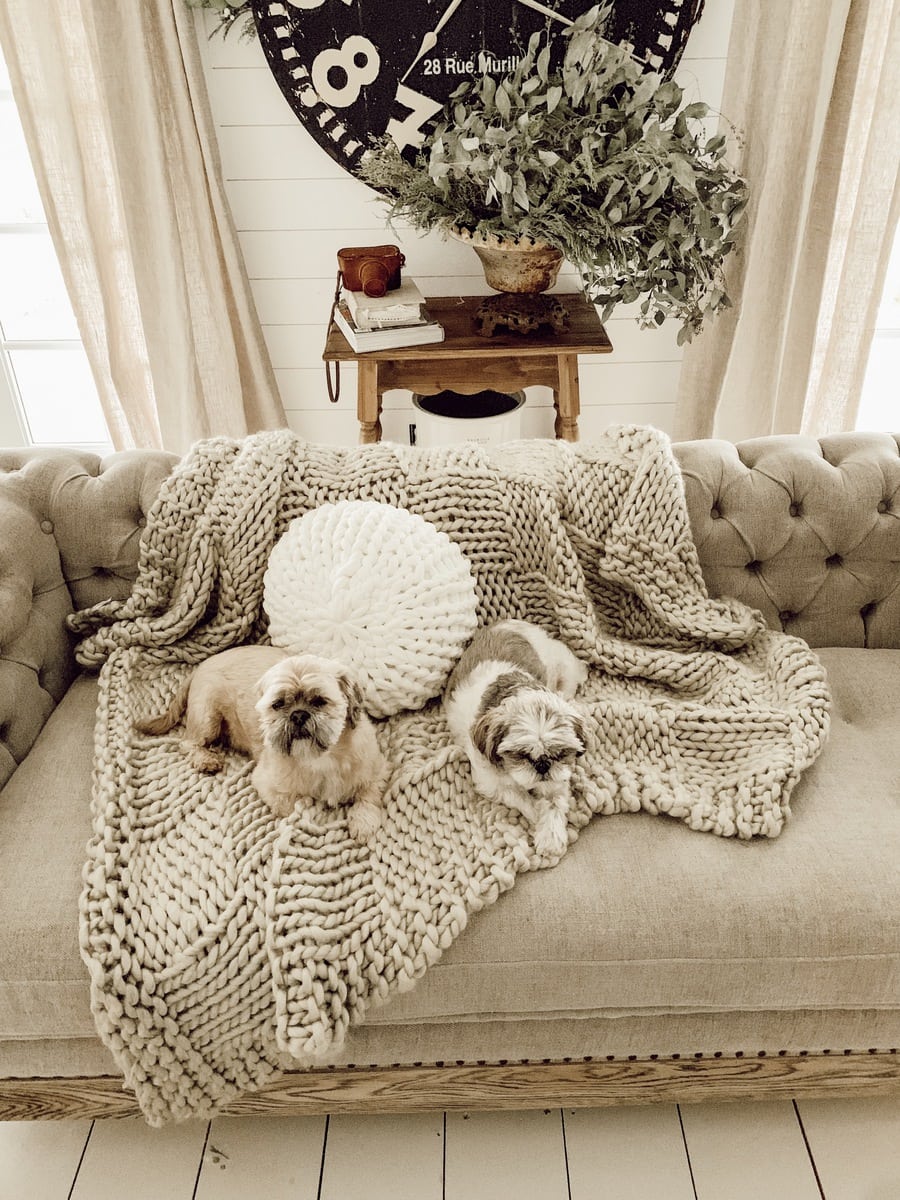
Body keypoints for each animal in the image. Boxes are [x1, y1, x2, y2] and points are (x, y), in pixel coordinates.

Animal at [136, 646, 387, 841]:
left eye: (319, 701)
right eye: (278, 704)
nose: (298, 715)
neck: (320, 758)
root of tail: (201, 666)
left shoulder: (376, 770)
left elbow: (369, 795)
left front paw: (363, 822)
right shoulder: (269, 785)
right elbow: (299, 805)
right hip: (208, 715)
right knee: (188, 743)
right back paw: (205, 759)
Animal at [444, 619, 588, 856]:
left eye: (560, 753)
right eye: (520, 754)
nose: (542, 764)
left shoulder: (557, 777)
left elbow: (554, 800)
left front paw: (551, 835)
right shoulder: (491, 781)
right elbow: (520, 796)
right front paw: (538, 814)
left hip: (565, 671)